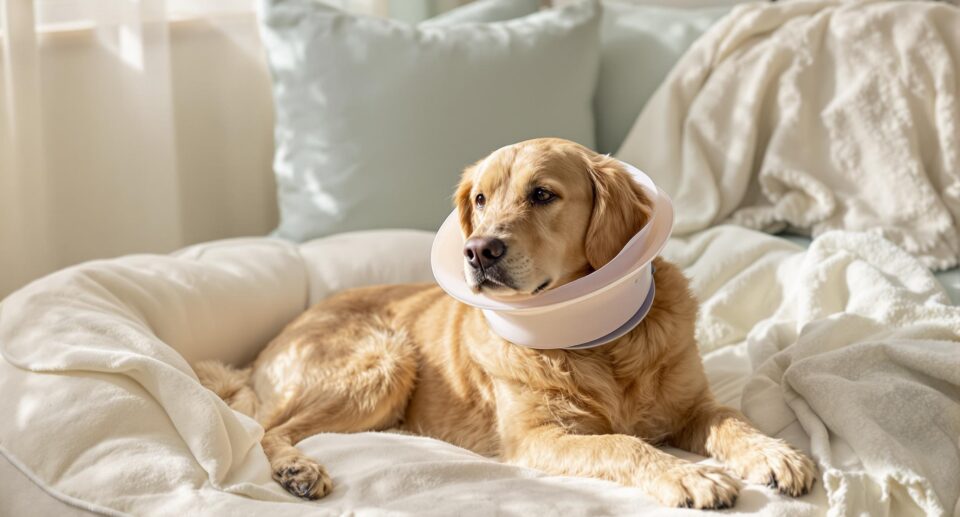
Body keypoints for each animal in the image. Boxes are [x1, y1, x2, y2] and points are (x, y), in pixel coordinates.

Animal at [193, 137, 808, 508]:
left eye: (543, 194)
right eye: (482, 199)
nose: (477, 251)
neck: (597, 347)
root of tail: (261, 356)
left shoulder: (693, 405)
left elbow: (734, 420)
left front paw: (775, 454)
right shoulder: (540, 436)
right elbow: (624, 444)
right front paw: (690, 475)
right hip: (385, 360)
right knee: (269, 428)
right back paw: (297, 469)